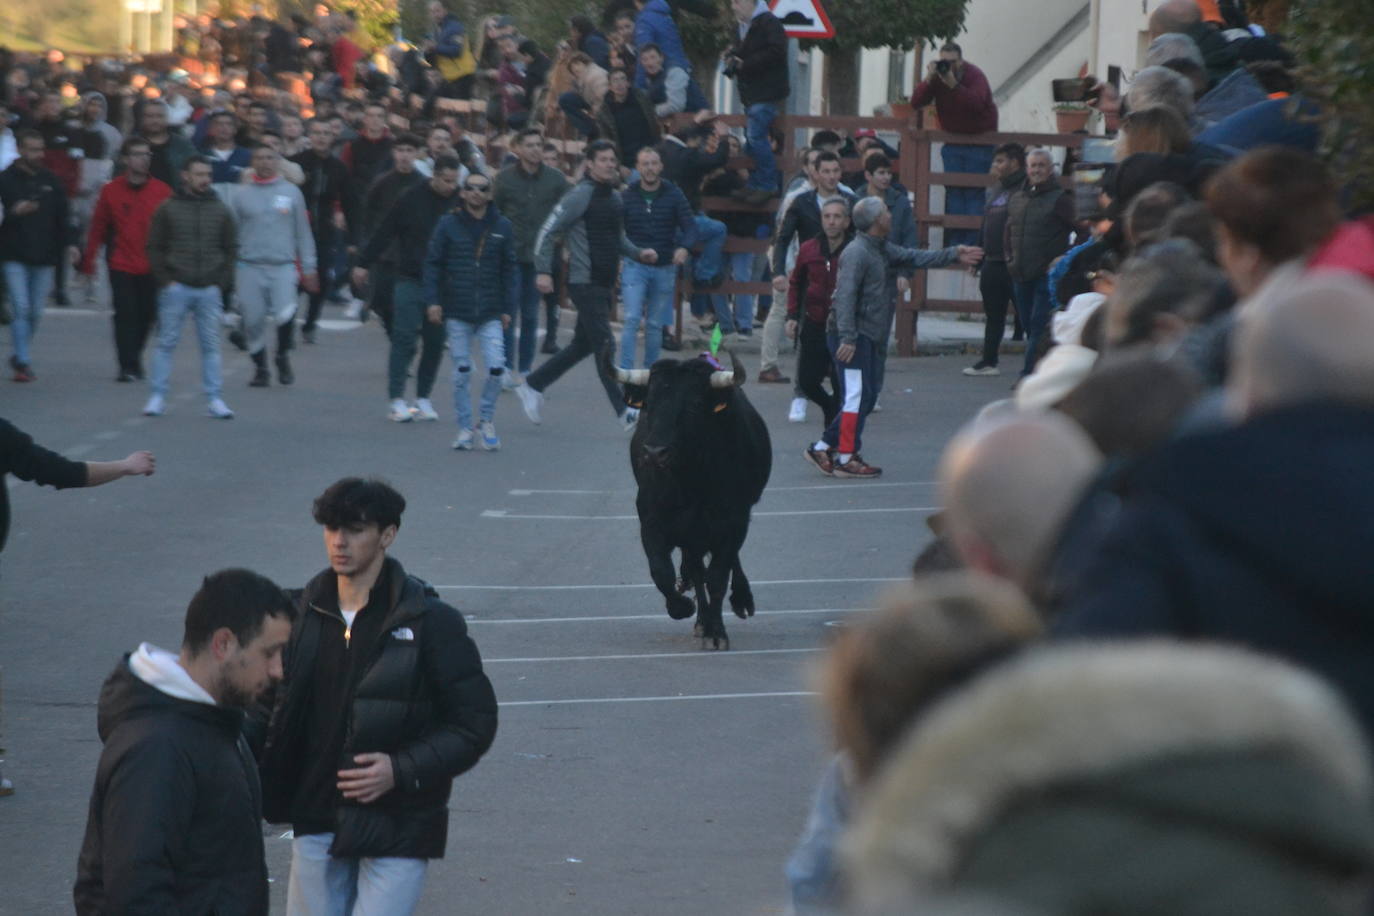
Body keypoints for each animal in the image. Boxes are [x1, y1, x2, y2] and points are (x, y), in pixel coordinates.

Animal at [612, 354, 774, 650]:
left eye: (695, 405)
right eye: (648, 403)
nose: (654, 453)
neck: (689, 482)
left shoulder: (733, 522)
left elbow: (718, 577)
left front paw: (717, 633)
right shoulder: (651, 522)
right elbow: (661, 571)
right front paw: (683, 608)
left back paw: (740, 600)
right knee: (696, 570)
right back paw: (700, 618)